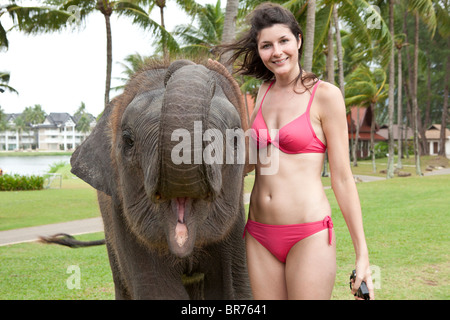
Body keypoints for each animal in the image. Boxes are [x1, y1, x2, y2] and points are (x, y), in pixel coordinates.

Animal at [69, 58, 255, 300]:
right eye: (128, 140)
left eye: (234, 140)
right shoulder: (123, 220)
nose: (178, 63)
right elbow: (157, 290)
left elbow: (235, 289)